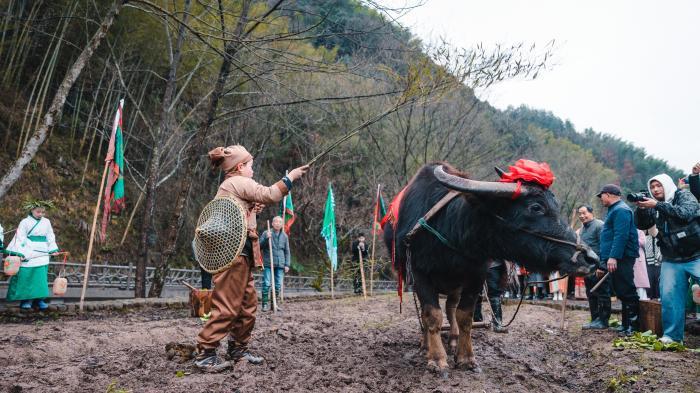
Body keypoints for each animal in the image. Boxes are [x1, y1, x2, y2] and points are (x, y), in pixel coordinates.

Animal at [386, 162, 600, 374]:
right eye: (536, 207)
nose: (591, 258)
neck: (451, 233)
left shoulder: (476, 275)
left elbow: (465, 315)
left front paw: (466, 357)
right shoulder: (419, 274)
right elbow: (431, 315)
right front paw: (437, 359)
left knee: (451, 307)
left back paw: (453, 340)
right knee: (428, 313)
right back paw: (425, 345)